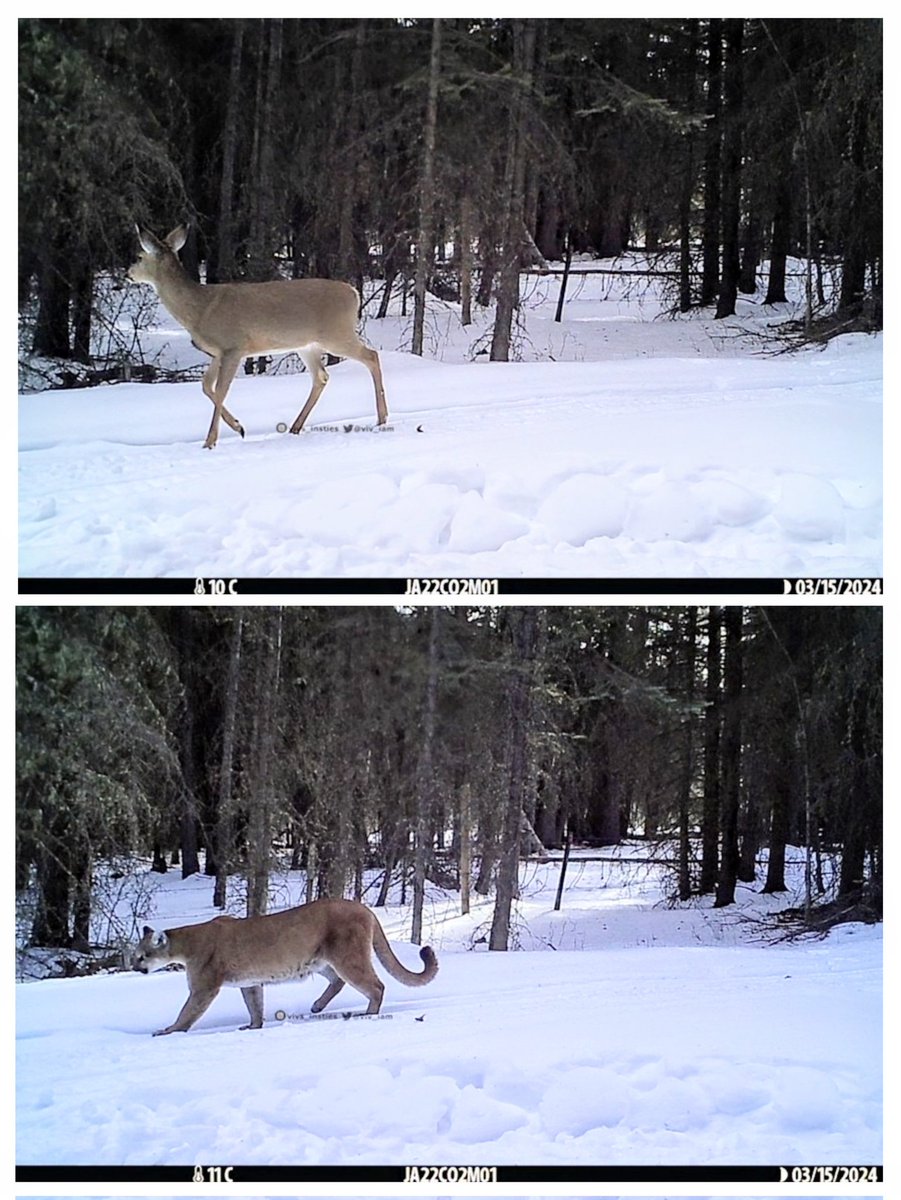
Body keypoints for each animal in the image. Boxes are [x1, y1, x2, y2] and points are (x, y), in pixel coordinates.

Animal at [129, 225, 388, 451]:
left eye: (140, 256)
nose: (127, 273)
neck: (199, 309)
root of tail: (353, 293)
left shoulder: (234, 346)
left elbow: (220, 390)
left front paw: (210, 441)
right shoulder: (218, 352)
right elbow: (206, 386)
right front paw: (238, 427)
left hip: (337, 334)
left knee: (371, 356)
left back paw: (382, 418)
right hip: (308, 345)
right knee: (321, 377)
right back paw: (295, 427)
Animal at [131, 897, 439, 1036]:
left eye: (143, 955)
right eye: (135, 954)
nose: (134, 967)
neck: (185, 943)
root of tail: (364, 907)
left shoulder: (203, 987)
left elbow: (188, 1012)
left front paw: (169, 1031)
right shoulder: (249, 982)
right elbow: (254, 1004)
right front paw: (253, 1026)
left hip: (346, 956)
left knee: (376, 986)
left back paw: (368, 1014)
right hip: (321, 960)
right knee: (338, 981)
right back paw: (317, 1006)